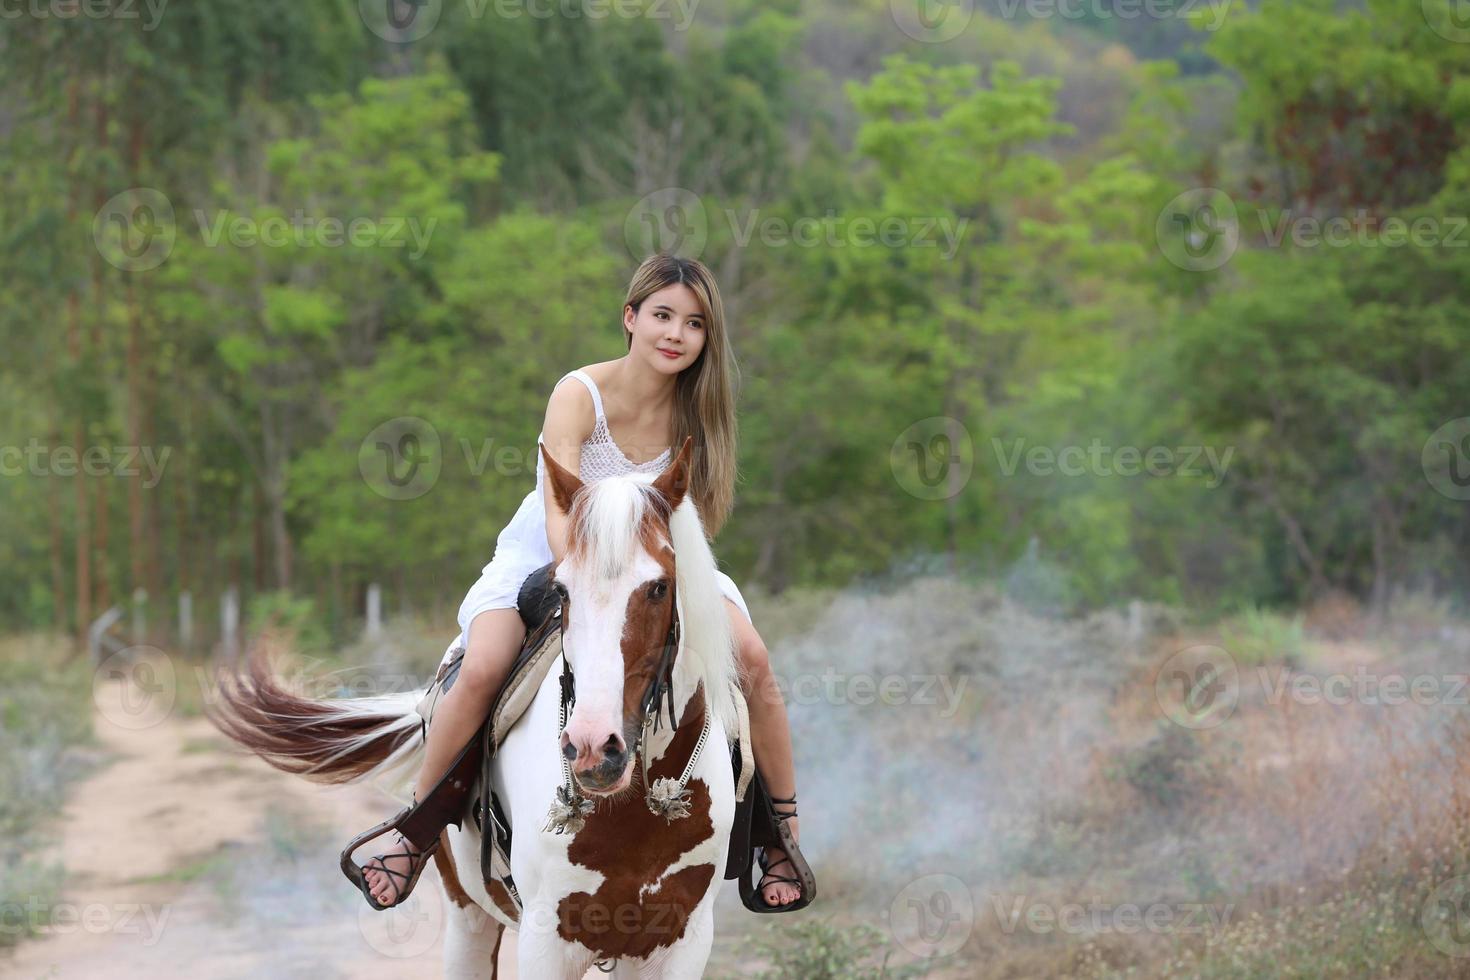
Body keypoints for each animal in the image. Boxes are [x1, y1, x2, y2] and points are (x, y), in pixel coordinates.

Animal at [213, 440, 740, 975]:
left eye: (659, 587)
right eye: (562, 590)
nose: (593, 748)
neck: (634, 812)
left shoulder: (681, 941)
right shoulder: (545, 940)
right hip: (468, 915)